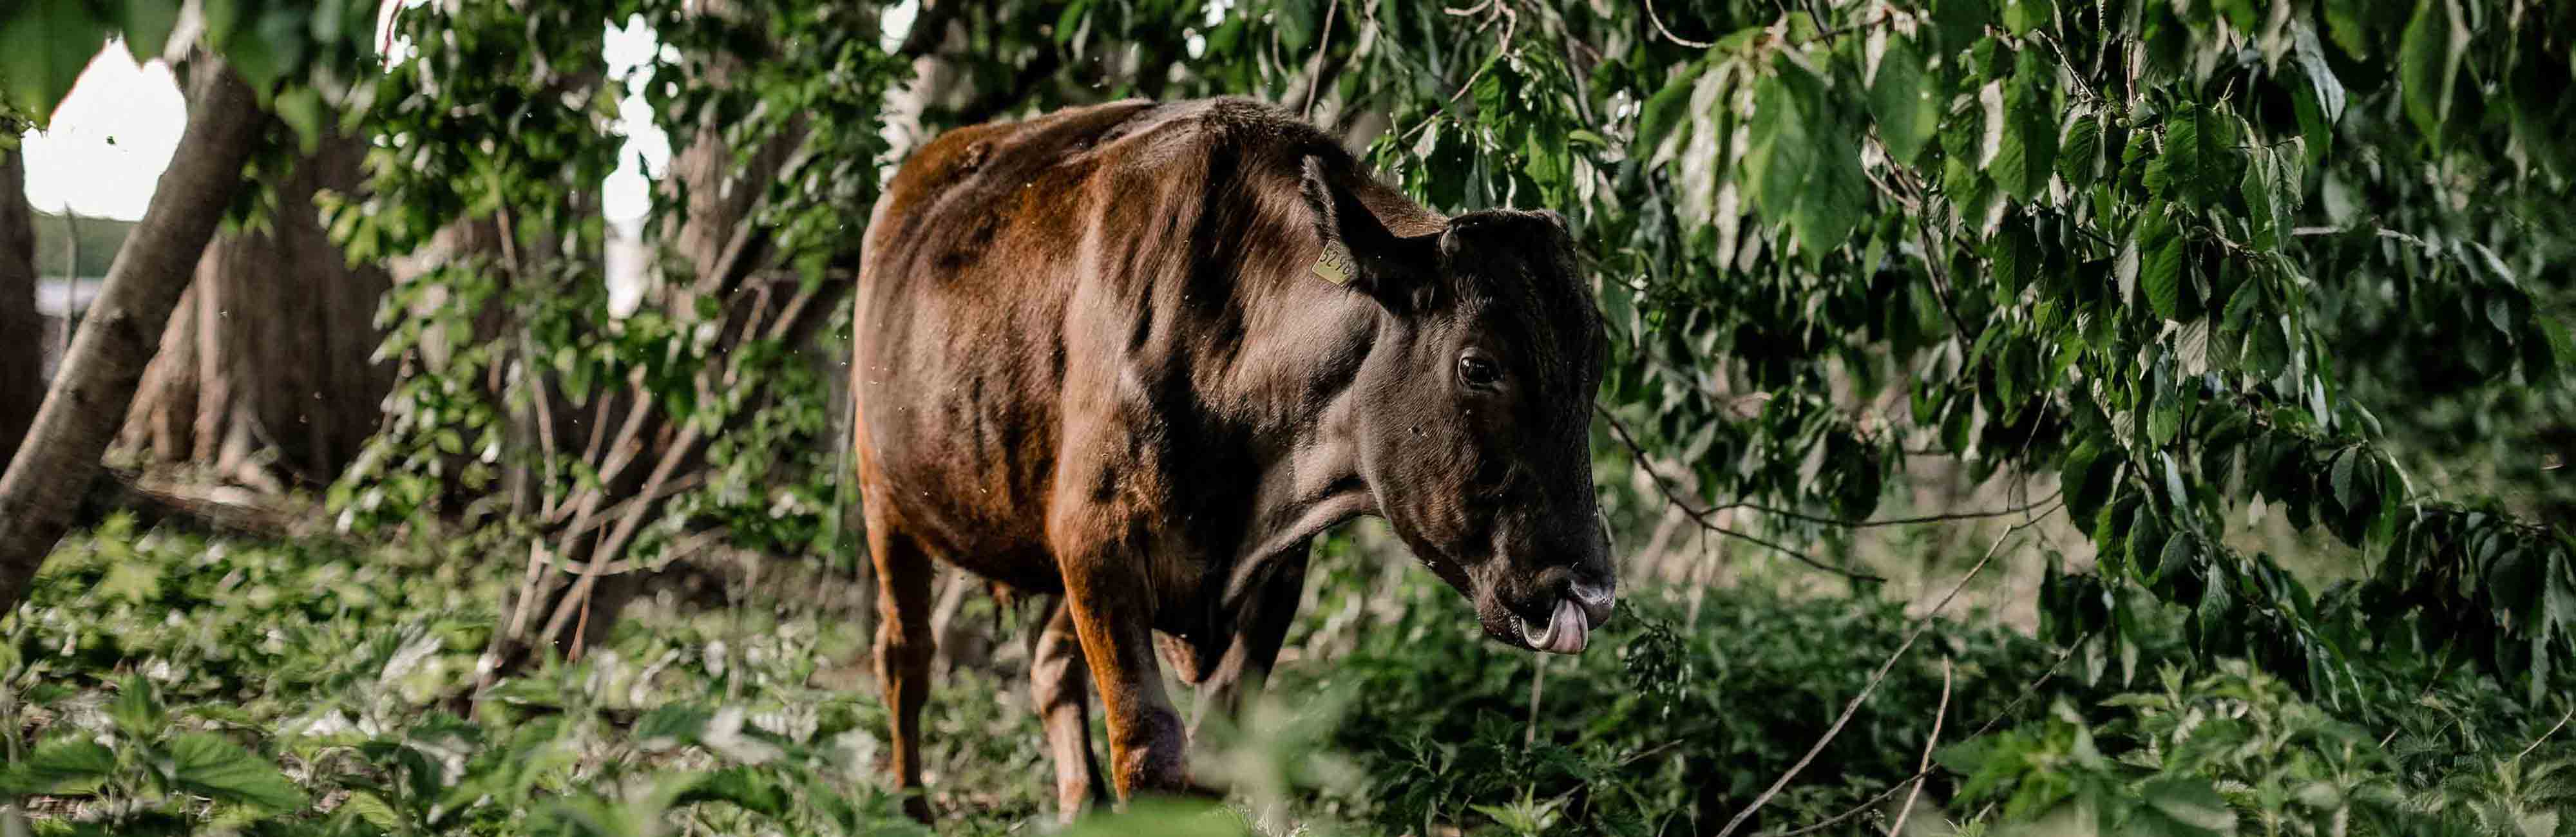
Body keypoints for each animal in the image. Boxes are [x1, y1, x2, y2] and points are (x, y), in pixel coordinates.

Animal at [844, 99, 1607, 819]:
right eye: (1478, 366)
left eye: (1595, 369)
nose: (1591, 588)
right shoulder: (1099, 548)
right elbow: (1149, 749)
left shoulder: (1273, 571)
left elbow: (1210, 759)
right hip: (884, 497)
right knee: (905, 656)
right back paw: (912, 807)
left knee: (1048, 663)